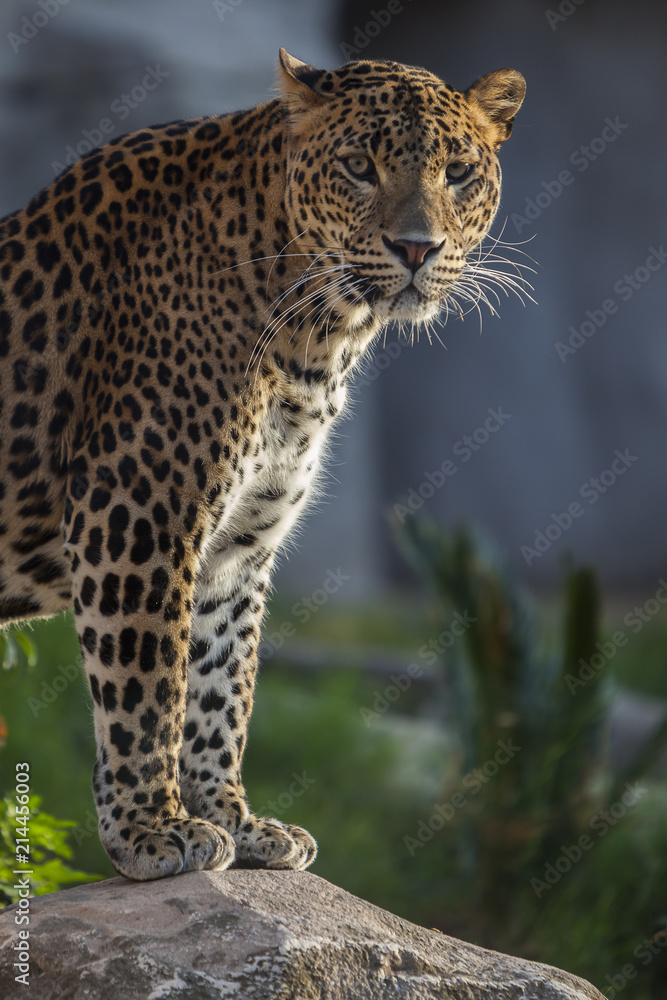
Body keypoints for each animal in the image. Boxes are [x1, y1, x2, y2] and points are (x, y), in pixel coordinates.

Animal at [0, 48, 525, 881]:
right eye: (358, 166)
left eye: (459, 173)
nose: (417, 249)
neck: (315, 334)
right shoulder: (138, 511)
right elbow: (148, 685)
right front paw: (151, 830)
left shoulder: (235, 546)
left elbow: (221, 687)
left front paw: (233, 821)